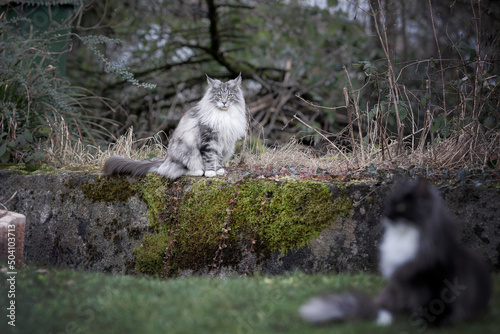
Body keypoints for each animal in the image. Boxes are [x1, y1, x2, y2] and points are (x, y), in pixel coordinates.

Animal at [103, 72, 246, 177]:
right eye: (219, 95)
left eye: (229, 95)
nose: (224, 102)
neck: (224, 115)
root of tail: (165, 160)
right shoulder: (208, 140)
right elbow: (210, 157)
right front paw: (211, 172)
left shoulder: (224, 142)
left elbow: (219, 158)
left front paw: (219, 170)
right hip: (186, 151)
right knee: (176, 170)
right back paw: (199, 171)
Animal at [298, 179, 490, 330]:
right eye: (389, 203)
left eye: (401, 206)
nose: (386, 215)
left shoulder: (437, 278)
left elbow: (437, 305)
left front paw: (432, 325)